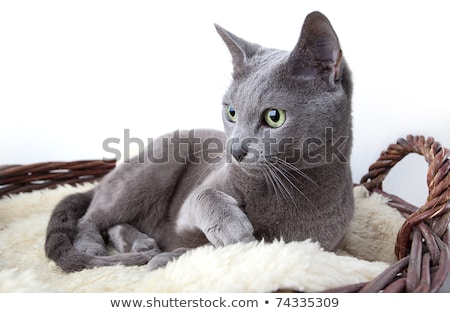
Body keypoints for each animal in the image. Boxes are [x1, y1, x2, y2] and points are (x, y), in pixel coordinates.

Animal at [46, 11, 356, 270]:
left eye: (274, 117)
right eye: (231, 112)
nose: (235, 150)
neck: (281, 188)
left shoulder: (316, 245)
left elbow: (203, 249)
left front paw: (166, 258)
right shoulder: (187, 212)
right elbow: (202, 198)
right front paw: (232, 228)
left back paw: (142, 245)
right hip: (157, 164)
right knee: (92, 216)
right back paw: (96, 246)